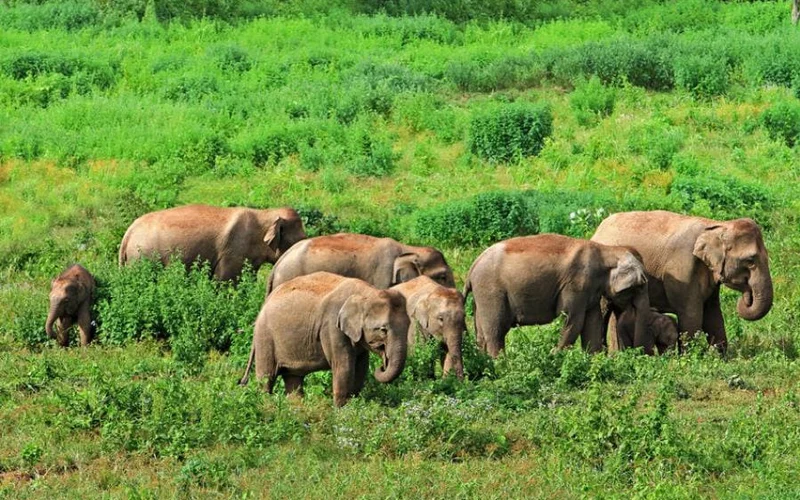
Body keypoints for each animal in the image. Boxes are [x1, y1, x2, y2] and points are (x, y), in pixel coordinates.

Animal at [119, 204, 306, 281]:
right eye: (299, 240)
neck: (265, 214)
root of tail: (128, 233)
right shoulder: (232, 252)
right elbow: (224, 281)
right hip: (142, 257)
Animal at [239, 272, 410, 407]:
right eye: (383, 329)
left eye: (409, 325)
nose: (382, 365)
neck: (367, 292)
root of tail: (263, 304)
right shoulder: (332, 327)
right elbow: (344, 366)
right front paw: (341, 412)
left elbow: (361, 367)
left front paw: (354, 405)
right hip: (265, 337)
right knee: (266, 378)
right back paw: (266, 405)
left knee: (293, 379)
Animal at [463, 234, 653, 358]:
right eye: (640, 286)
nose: (642, 355)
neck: (607, 250)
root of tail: (472, 268)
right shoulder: (576, 285)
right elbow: (572, 320)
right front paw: (554, 356)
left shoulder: (589, 291)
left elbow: (592, 321)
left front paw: (594, 360)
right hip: (491, 291)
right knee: (496, 330)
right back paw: (501, 364)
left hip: (481, 296)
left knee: (482, 334)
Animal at [591, 210, 773, 352]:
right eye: (750, 261)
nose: (747, 295)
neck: (716, 225)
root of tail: (598, 229)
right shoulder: (682, 270)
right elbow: (691, 314)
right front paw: (691, 360)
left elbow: (713, 313)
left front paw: (722, 359)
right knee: (604, 310)